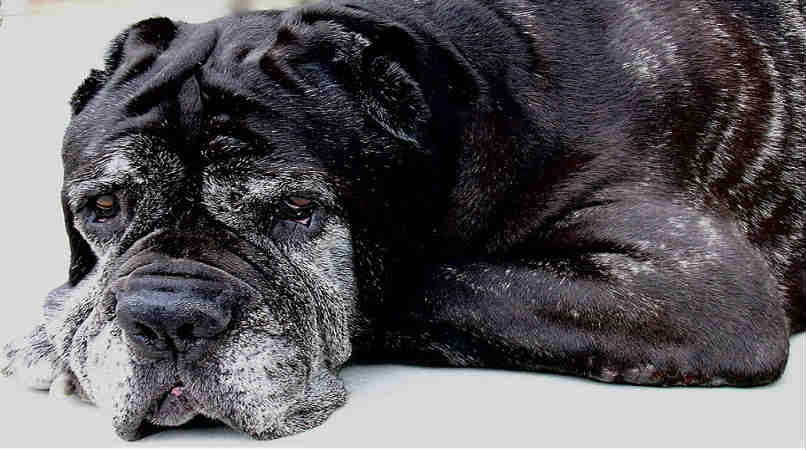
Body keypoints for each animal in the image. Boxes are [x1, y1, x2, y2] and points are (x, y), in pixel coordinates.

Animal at [1, 0, 806, 442]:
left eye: (297, 212)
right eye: (104, 208)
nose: (167, 316)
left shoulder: (692, 286)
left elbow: (431, 283)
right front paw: (61, 327)